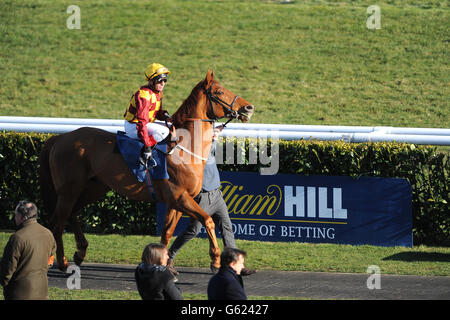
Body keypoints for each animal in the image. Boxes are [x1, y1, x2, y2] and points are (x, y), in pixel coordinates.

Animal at [39, 71, 255, 272]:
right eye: (219, 91)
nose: (249, 107)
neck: (183, 147)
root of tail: (59, 138)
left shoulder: (175, 202)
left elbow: (167, 233)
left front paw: (165, 266)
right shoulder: (180, 197)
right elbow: (208, 220)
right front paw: (216, 260)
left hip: (93, 189)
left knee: (71, 214)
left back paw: (80, 251)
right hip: (69, 190)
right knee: (58, 223)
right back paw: (62, 263)